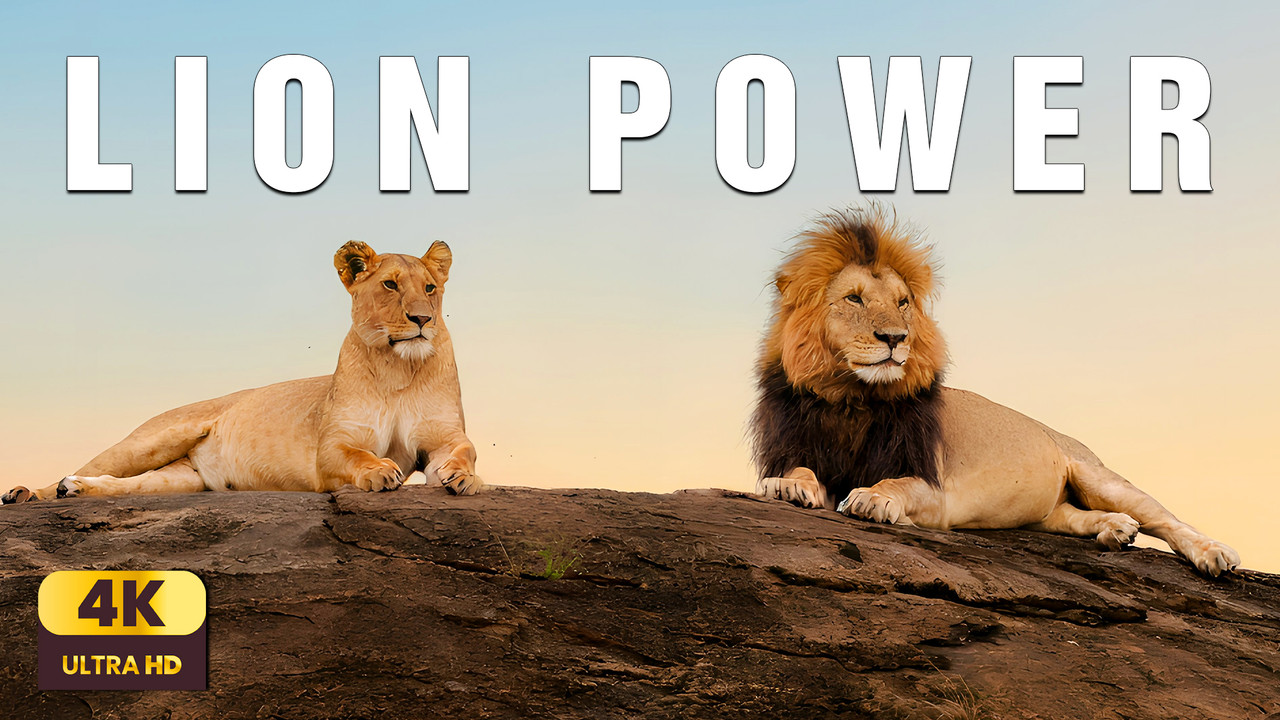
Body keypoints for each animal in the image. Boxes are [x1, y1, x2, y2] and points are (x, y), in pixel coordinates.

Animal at [1, 240, 482, 503]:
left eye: (430, 288)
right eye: (389, 285)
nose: (422, 320)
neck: (398, 370)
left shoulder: (443, 436)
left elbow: (465, 450)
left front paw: (465, 477)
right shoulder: (330, 449)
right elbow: (356, 456)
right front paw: (380, 472)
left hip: (183, 480)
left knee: (131, 486)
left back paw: (76, 489)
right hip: (149, 440)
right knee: (92, 466)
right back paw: (31, 492)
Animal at [752, 207, 1240, 576]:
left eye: (903, 302)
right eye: (853, 298)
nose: (895, 338)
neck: (851, 396)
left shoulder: (934, 490)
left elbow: (896, 484)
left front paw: (873, 498)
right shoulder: (800, 445)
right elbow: (797, 471)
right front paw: (787, 486)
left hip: (1100, 476)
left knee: (1168, 520)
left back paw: (1214, 553)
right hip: (1048, 511)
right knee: (1074, 517)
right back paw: (1115, 529)